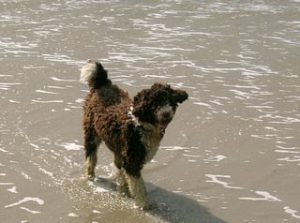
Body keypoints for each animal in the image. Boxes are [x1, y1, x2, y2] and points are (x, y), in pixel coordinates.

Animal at [79, 59, 188, 209]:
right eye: (154, 104)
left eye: (169, 101)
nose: (166, 114)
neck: (143, 125)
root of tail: (103, 82)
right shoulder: (132, 160)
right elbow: (139, 186)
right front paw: (145, 205)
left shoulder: (128, 156)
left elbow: (128, 178)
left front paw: (125, 190)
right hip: (91, 133)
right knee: (91, 157)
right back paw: (90, 177)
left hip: (117, 146)